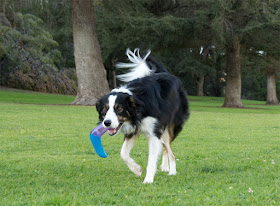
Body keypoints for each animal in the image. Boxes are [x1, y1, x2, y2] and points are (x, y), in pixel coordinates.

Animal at [95, 48, 189, 183]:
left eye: (119, 108)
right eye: (104, 110)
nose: (107, 123)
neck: (137, 106)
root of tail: (167, 73)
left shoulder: (154, 131)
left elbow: (152, 158)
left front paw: (148, 179)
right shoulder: (132, 130)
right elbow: (123, 153)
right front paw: (137, 169)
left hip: (170, 125)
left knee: (170, 150)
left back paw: (172, 171)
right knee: (166, 148)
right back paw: (165, 167)